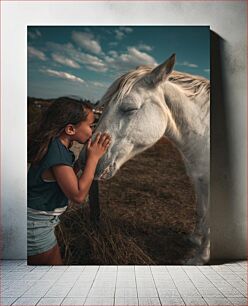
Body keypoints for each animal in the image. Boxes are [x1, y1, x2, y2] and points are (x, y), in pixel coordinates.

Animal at [79, 53, 209, 264]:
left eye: (130, 108)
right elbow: (202, 212)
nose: (84, 160)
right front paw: (196, 240)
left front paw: (200, 258)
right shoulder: (198, 179)